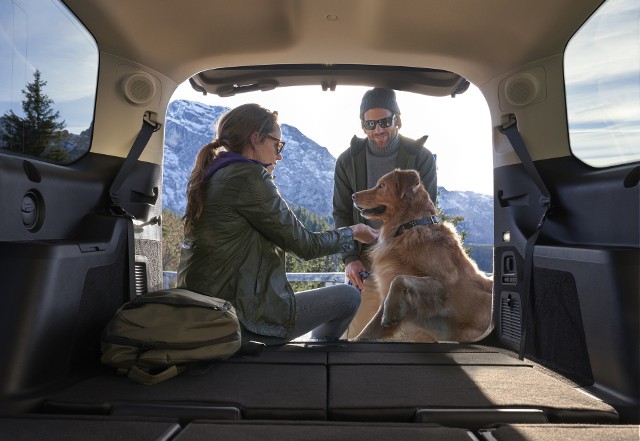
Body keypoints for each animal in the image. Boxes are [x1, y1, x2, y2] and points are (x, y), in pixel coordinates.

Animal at [352, 167, 492, 342]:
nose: (353, 195)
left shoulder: (445, 284)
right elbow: (369, 329)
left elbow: (401, 279)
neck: (409, 226)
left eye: (381, 185)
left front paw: (390, 313)